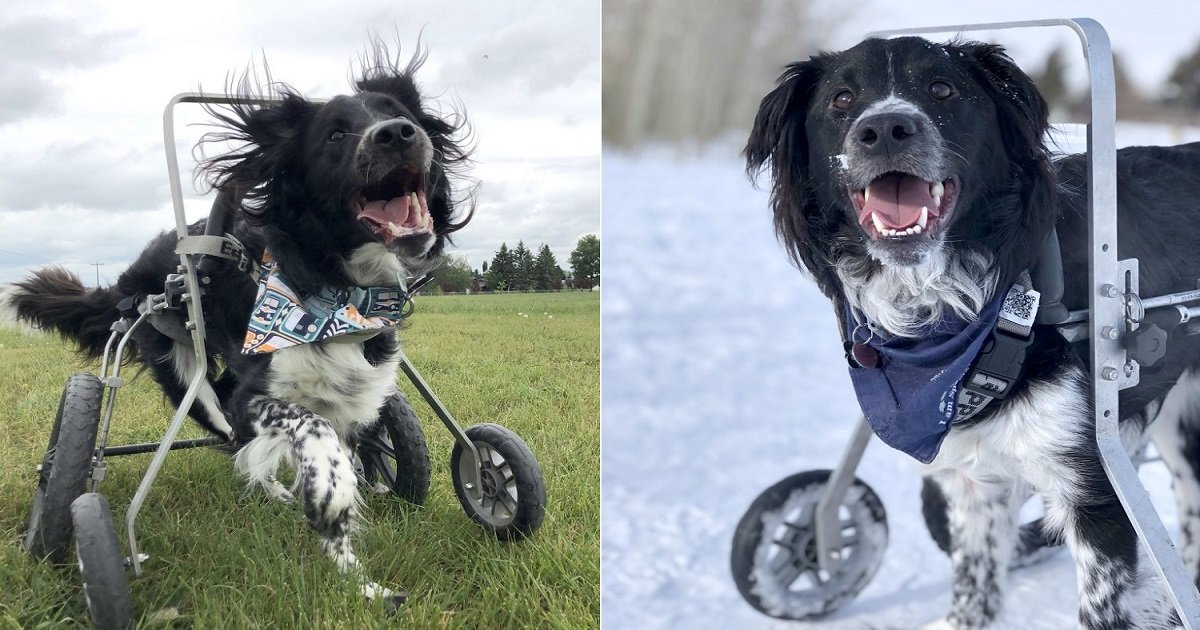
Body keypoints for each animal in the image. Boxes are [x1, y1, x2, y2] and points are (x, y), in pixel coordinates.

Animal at [15, 42, 472, 600]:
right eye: (334, 135)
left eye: (403, 115)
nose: (397, 134)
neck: (336, 290)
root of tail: (130, 278)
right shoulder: (255, 398)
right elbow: (312, 431)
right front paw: (331, 497)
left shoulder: (357, 394)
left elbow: (343, 455)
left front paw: (362, 581)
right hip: (184, 370)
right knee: (226, 432)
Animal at [744, 36, 1200, 624]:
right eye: (841, 99)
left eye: (942, 88)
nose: (885, 128)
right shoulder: (969, 481)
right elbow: (973, 587)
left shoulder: (1091, 486)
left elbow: (1104, 601)